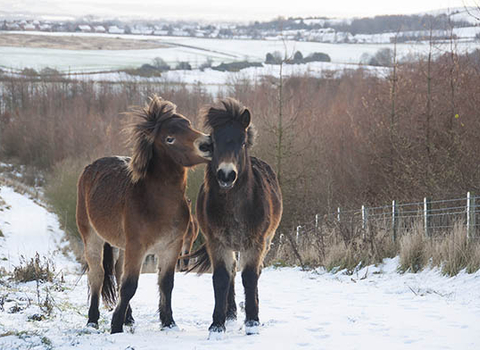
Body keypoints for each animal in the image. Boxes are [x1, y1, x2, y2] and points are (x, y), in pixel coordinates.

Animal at [77, 95, 212, 334]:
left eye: (188, 124)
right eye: (169, 138)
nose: (207, 144)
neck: (156, 203)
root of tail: (90, 169)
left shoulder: (171, 248)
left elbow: (166, 284)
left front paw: (169, 323)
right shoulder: (137, 248)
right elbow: (130, 286)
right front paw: (116, 327)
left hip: (122, 247)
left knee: (117, 274)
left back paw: (129, 317)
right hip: (93, 238)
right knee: (97, 275)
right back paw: (92, 320)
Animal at [190, 97, 282, 338]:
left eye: (241, 142)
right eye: (213, 142)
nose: (226, 175)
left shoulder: (256, 243)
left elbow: (250, 277)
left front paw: (252, 322)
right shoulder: (217, 243)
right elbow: (221, 278)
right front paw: (217, 325)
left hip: (265, 241)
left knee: (255, 273)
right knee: (231, 271)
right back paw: (230, 313)